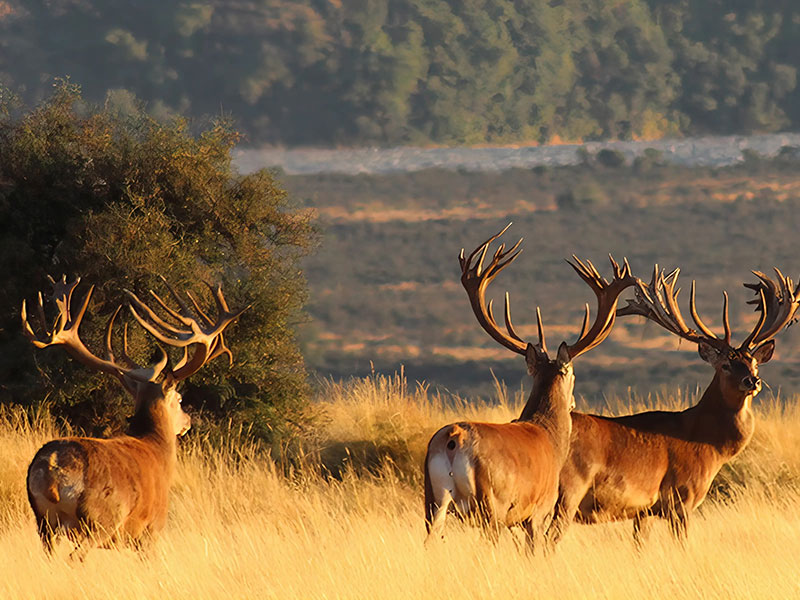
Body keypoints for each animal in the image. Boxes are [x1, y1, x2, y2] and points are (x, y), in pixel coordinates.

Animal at [23, 274, 245, 560]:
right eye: (179, 400)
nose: (187, 422)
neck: (156, 448)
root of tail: (51, 467)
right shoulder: (152, 529)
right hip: (99, 518)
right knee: (76, 555)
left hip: (43, 522)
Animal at [424, 225, 636, 550]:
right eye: (573, 375)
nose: (573, 402)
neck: (549, 436)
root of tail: (453, 438)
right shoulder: (540, 509)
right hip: (492, 501)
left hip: (432, 499)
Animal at [548, 266, 800, 545]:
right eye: (725, 365)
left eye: (754, 363)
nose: (752, 381)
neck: (707, 443)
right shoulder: (682, 497)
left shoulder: (645, 510)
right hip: (565, 494)